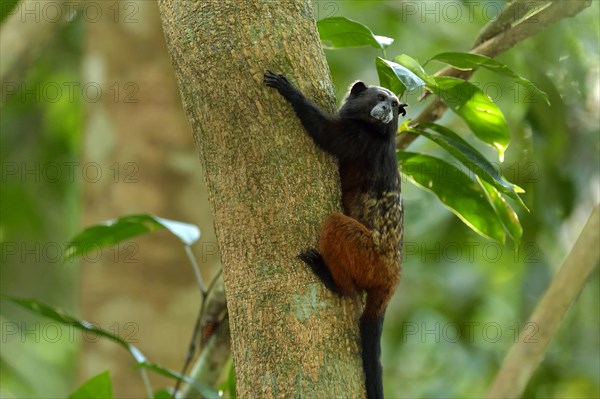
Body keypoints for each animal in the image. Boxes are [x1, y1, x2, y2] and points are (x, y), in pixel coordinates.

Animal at [264, 72, 406, 399]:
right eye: (381, 99)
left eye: (394, 105)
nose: (387, 111)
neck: (379, 133)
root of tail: (392, 274)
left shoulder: (360, 139)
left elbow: (324, 134)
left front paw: (290, 92)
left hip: (368, 256)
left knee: (335, 226)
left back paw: (333, 280)